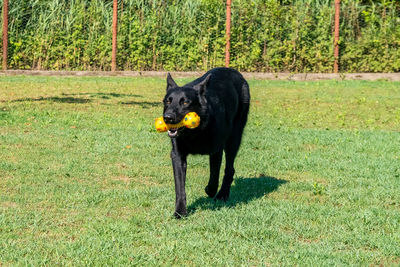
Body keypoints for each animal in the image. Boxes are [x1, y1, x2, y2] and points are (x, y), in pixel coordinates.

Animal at [162, 68, 250, 219]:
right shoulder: (178, 156)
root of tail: (234, 71)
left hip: (234, 139)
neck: (195, 132)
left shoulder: (216, 151)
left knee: (229, 169)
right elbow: (180, 187)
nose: (167, 117)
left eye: (185, 102)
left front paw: (210, 190)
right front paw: (180, 211)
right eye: (168, 101)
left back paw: (222, 195)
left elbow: (214, 177)